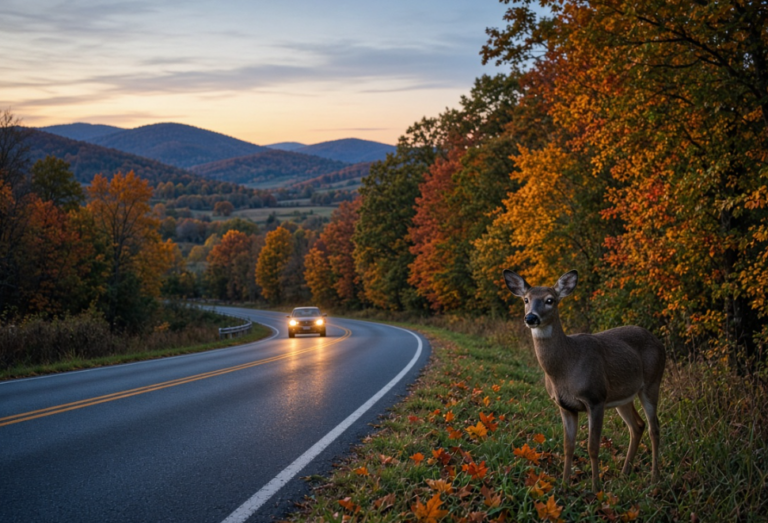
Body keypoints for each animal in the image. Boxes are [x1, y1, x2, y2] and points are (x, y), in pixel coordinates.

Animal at [503, 269, 665, 492]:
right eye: (526, 299)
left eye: (550, 300)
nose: (531, 317)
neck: (565, 368)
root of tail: (660, 343)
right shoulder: (565, 406)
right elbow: (568, 446)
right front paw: (564, 485)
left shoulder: (595, 398)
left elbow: (592, 447)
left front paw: (596, 488)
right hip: (622, 396)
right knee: (637, 426)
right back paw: (624, 473)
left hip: (652, 382)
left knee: (654, 427)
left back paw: (654, 477)